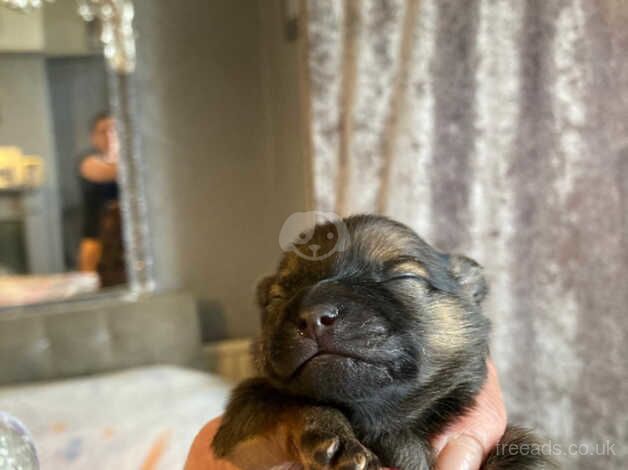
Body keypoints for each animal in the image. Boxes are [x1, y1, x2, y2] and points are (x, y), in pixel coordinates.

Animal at [212, 215, 556, 468]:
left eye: (404, 278)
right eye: (277, 299)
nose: (313, 315)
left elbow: (521, 447)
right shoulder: (244, 418)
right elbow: (289, 403)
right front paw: (335, 438)